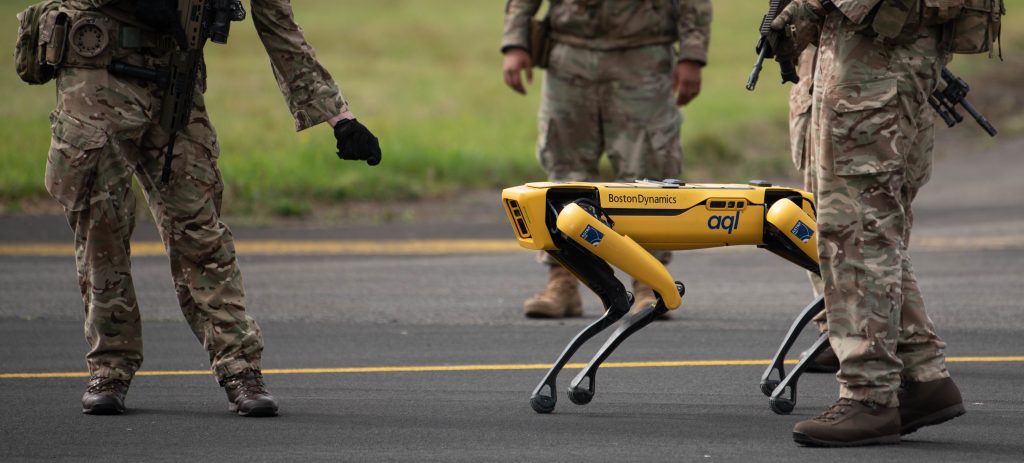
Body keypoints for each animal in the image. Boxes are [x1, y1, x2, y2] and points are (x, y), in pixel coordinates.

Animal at [503, 179, 831, 413]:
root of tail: (803, 198)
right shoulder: (573, 240)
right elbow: (625, 301)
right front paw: (562, 388)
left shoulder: (582, 219)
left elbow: (663, 295)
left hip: (787, 222)